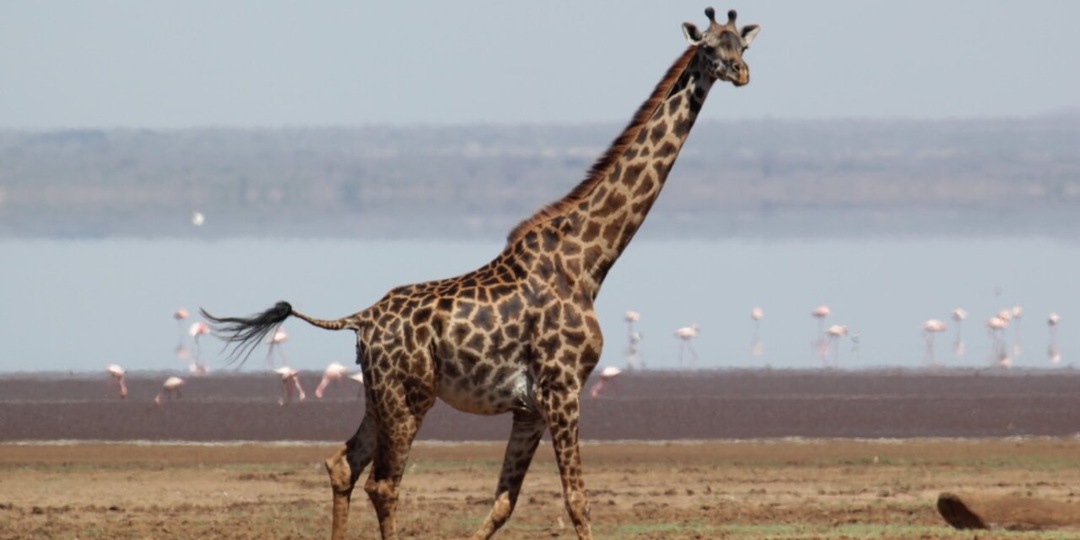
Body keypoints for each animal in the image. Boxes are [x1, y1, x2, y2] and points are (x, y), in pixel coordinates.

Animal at [202, 7, 759, 539]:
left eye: (743, 45)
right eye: (709, 48)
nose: (741, 73)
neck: (587, 261)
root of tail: (359, 319)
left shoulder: (530, 406)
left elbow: (503, 503)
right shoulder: (563, 389)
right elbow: (577, 502)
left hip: (378, 395)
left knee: (343, 464)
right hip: (409, 395)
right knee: (383, 484)